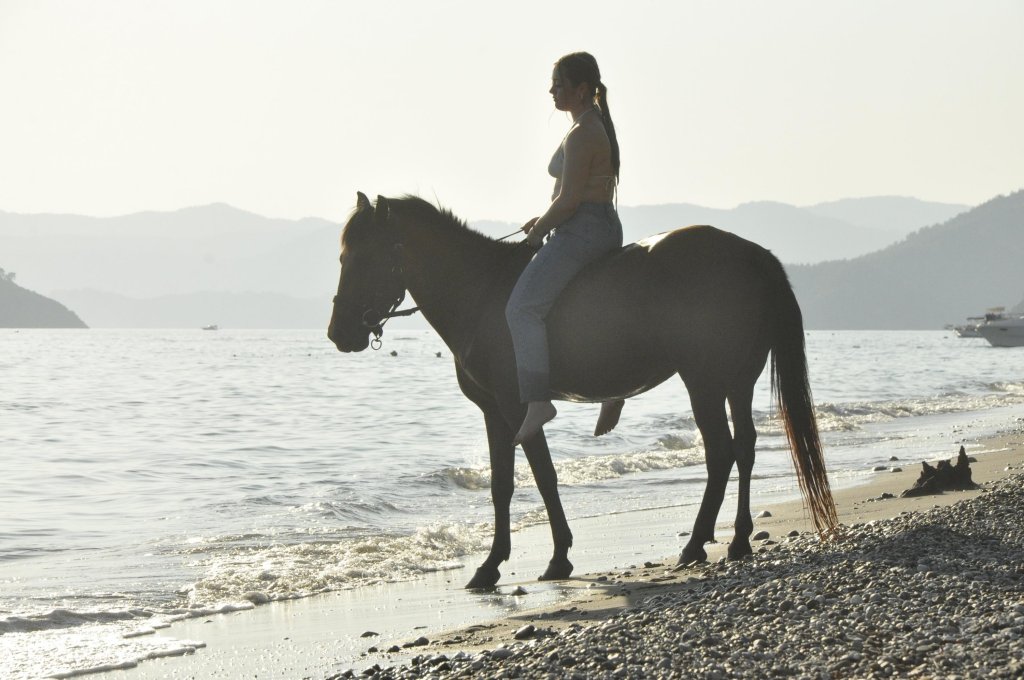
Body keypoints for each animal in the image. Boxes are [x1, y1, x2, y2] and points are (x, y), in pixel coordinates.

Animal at [328, 192, 837, 589]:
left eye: (362, 257)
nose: (339, 332)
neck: (481, 291)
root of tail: (751, 255)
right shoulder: (493, 413)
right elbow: (501, 486)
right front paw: (493, 565)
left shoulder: (517, 408)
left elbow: (544, 478)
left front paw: (554, 558)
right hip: (737, 381)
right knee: (746, 448)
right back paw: (738, 539)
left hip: (704, 383)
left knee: (721, 453)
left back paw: (695, 544)